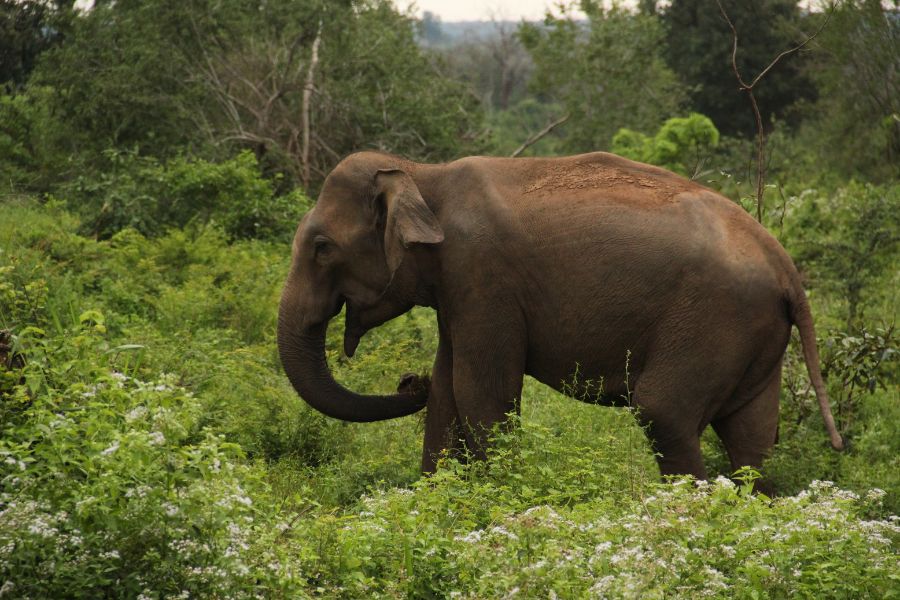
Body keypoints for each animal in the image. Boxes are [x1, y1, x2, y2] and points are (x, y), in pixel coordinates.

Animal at [277, 151, 843, 487]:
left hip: (715, 321)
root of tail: (786, 267)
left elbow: (482, 392)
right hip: (755, 334)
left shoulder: (483, 276)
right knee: (752, 437)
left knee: (664, 412)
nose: (404, 380)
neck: (420, 173)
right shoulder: (459, 289)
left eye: (322, 248)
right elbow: (446, 393)